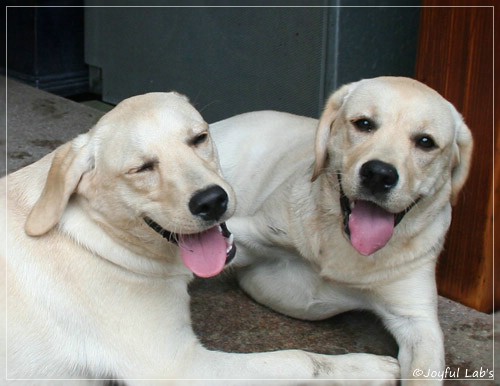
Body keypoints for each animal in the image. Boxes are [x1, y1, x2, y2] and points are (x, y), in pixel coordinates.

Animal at [0, 92, 398, 384]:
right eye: (142, 168)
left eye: (199, 138)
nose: (211, 201)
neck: (98, 232)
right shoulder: (180, 368)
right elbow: (297, 360)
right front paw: (369, 367)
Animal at [210, 77, 472, 384]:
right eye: (364, 124)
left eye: (425, 142)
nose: (379, 174)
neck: (340, 242)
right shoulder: (249, 234)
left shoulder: (418, 321)